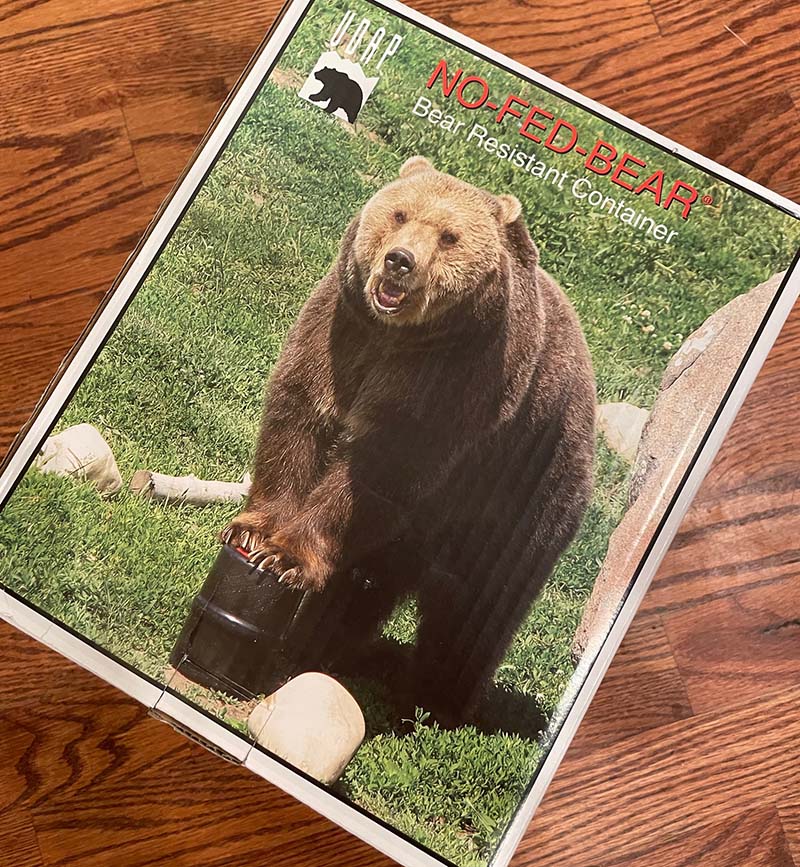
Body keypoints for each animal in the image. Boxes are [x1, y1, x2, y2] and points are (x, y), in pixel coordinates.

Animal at [223, 156, 597, 725]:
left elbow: (382, 468)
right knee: (369, 582)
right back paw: (323, 642)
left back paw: (438, 702)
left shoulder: (453, 384)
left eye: (449, 236)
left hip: (520, 497)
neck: (396, 337)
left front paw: (286, 555)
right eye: (400, 213)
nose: (400, 261)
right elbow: (299, 417)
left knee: (473, 613)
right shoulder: (339, 331)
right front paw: (254, 533)